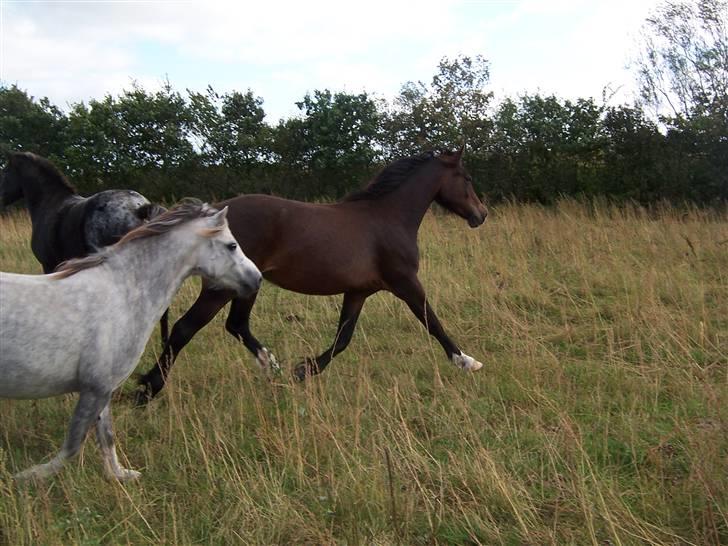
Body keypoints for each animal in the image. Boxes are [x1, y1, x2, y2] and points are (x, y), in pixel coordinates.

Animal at [0, 200, 262, 480]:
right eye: (231, 245)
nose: (257, 278)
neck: (123, 294)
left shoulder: (102, 388)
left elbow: (106, 436)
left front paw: (120, 476)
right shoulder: (95, 388)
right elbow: (73, 444)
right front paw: (28, 477)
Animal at [136, 147, 490, 402]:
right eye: (467, 178)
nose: (481, 215)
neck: (388, 218)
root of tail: (214, 215)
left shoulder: (358, 291)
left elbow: (343, 338)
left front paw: (303, 370)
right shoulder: (406, 283)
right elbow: (433, 323)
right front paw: (467, 361)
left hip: (245, 285)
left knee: (236, 325)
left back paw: (273, 367)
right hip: (222, 288)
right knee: (185, 328)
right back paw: (148, 389)